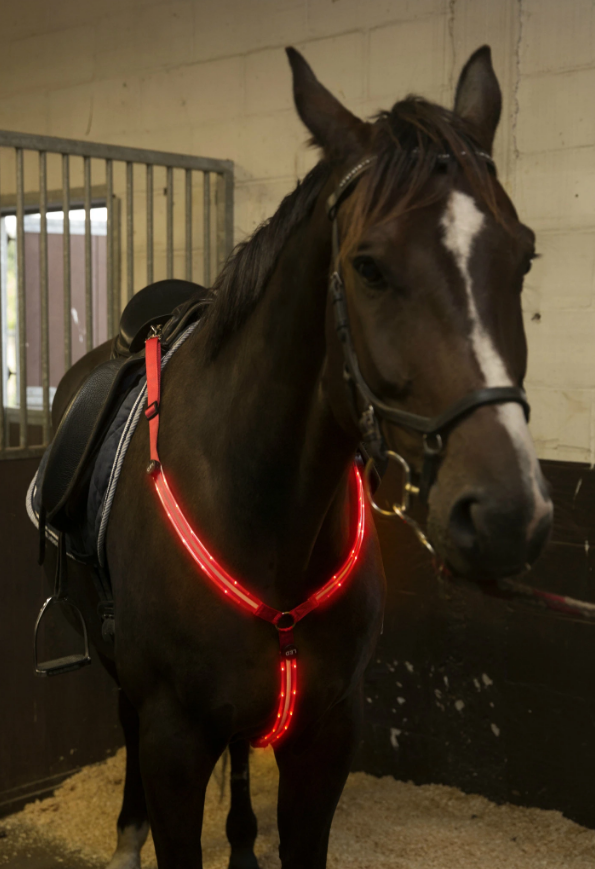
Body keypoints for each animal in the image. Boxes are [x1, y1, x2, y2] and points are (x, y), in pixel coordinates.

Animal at [42, 44, 553, 869]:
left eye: (524, 257)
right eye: (368, 266)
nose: (507, 515)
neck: (261, 511)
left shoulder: (327, 732)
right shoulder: (172, 740)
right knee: (124, 717)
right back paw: (126, 838)